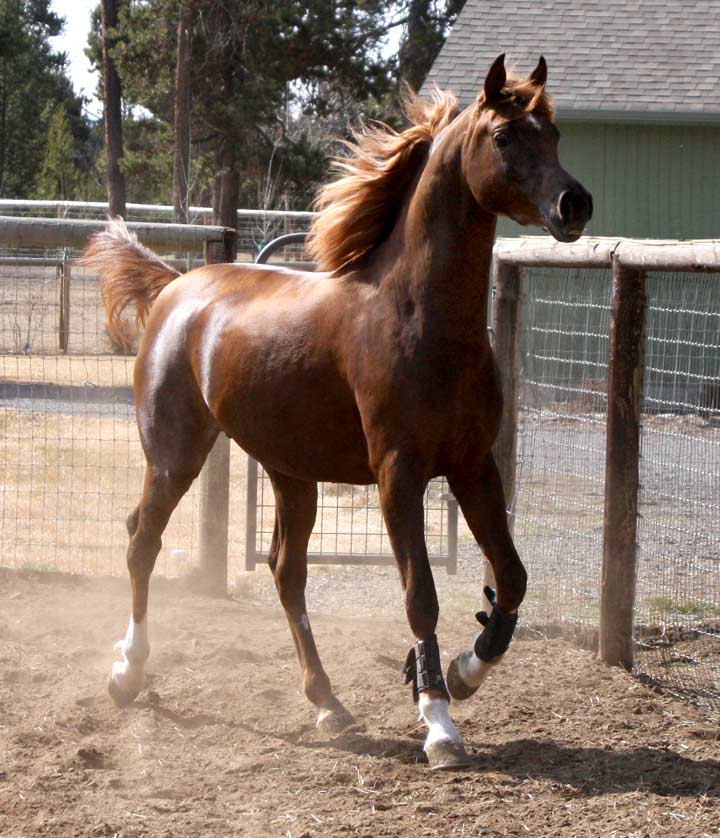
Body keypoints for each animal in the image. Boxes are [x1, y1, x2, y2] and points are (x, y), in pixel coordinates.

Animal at [84, 55, 592, 772]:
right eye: (503, 136)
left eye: (555, 133)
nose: (574, 204)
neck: (423, 319)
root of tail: (176, 287)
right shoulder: (398, 474)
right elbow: (420, 595)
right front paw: (439, 724)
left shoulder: (473, 466)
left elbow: (514, 579)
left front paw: (464, 672)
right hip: (175, 456)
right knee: (141, 543)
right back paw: (127, 673)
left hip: (291, 475)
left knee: (284, 572)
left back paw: (328, 703)